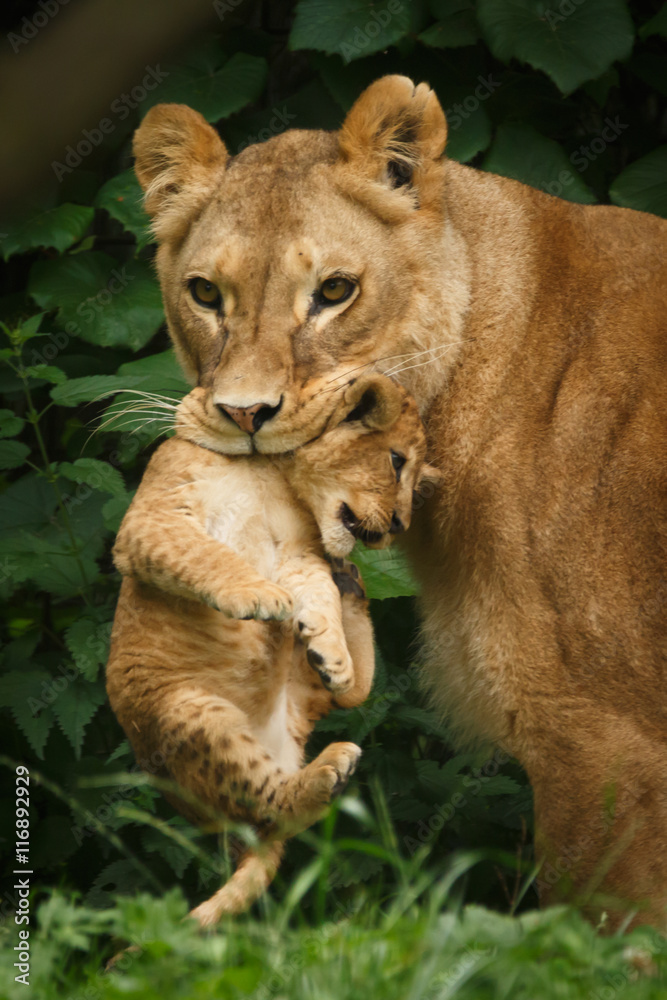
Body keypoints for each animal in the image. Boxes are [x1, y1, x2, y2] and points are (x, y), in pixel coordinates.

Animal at [106, 374, 435, 926]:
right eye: (395, 461)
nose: (398, 526)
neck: (264, 467)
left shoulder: (297, 549)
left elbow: (317, 592)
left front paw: (332, 649)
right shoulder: (152, 519)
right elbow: (204, 554)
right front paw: (258, 595)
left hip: (299, 694)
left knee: (348, 698)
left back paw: (348, 618)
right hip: (191, 713)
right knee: (270, 809)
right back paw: (327, 772)